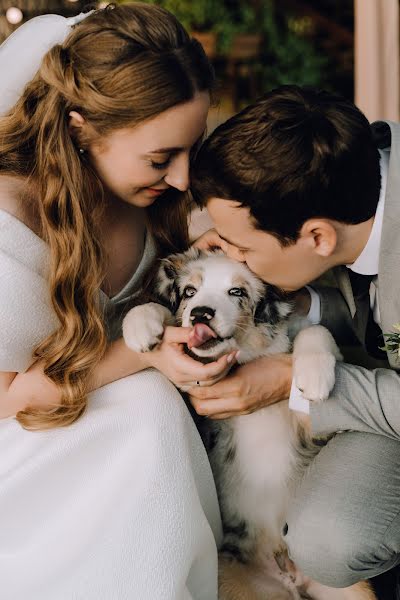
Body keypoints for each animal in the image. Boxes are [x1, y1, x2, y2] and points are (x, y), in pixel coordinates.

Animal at [123, 248, 376, 600]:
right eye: (189, 292)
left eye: (237, 291)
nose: (200, 314)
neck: (246, 356)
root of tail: (288, 572)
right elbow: (159, 312)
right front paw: (139, 324)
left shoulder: (317, 428)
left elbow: (313, 331)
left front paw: (314, 374)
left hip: (350, 590)